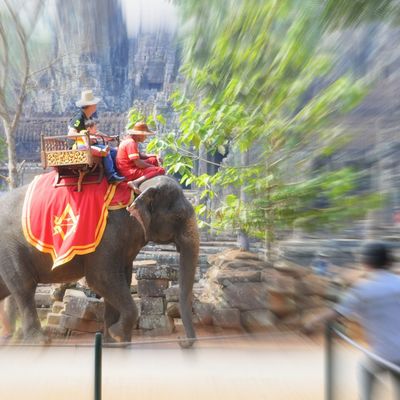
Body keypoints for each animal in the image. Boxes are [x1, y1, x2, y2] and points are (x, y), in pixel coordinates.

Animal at [0, 175, 199, 346]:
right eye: (179, 216)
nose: (181, 340)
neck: (135, 188)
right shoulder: (106, 236)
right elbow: (101, 279)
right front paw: (117, 334)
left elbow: (123, 279)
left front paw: (114, 342)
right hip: (8, 249)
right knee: (24, 286)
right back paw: (38, 342)